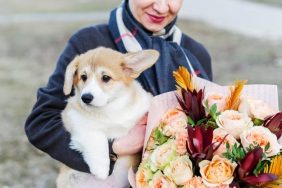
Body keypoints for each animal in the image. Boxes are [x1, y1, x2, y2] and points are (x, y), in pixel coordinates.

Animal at [56, 47, 160, 188]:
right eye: (83, 77)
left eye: (105, 77)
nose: (86, 98)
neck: (110, 109)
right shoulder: (73, 116)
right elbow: (96, 138)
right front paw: (101, 168)